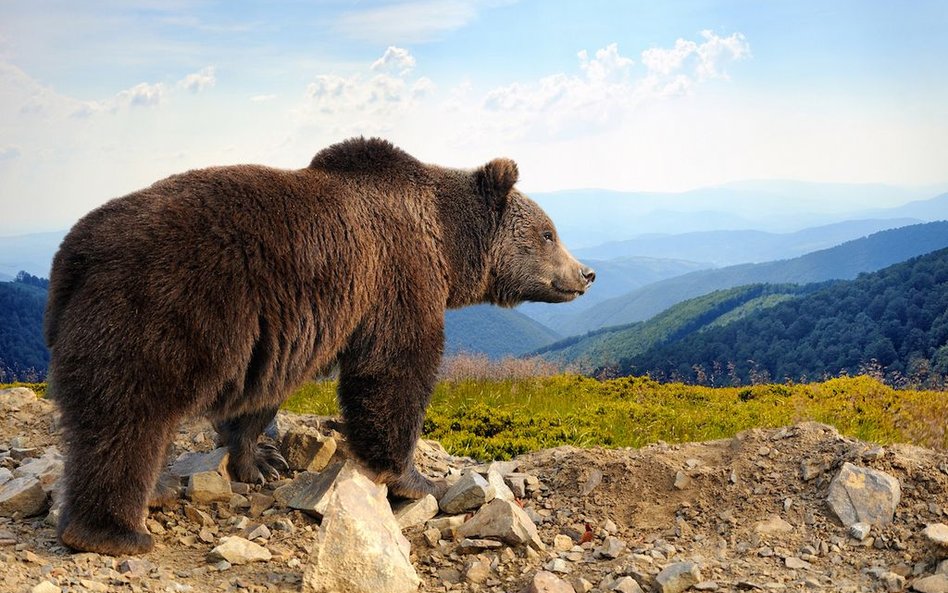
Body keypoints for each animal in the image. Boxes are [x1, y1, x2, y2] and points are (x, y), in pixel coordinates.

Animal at [46, 138, 592, 556]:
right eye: (548, 232)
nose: (585, 273)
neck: (447, 244)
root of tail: (75, 254)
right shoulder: (396, 277)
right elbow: (395, 372)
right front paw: (416, 480)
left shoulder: (282, 330)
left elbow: (262, 394)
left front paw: (261, 460)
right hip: (161, 308)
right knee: (128, 416)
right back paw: (115, 530)